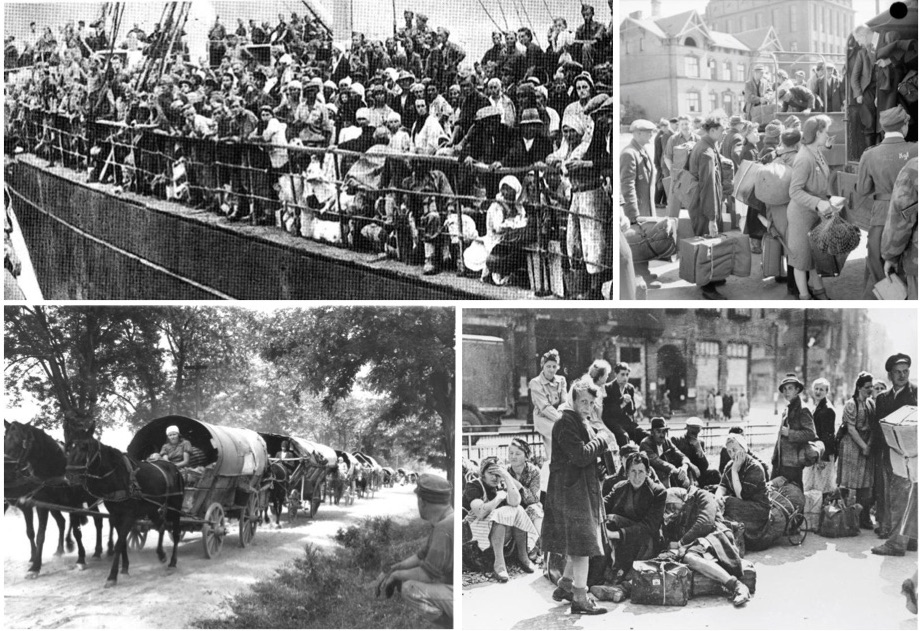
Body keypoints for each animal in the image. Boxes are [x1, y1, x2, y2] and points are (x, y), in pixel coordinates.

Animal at [4, 422, 109, 580]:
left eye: (20, 441)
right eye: (5, 438)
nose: (5, 469)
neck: (56, 470)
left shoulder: (73, 503)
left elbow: (77, 532)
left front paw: (81, 559)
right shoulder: (42, 505)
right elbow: (39, 535)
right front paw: (35, 567)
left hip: (91, 498)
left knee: (99, 521)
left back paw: (98, 550)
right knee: (63, 522)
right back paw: (62, 549)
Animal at [65, 436, 185, 584]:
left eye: (83, 449)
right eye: (69, 450)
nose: (69, 477)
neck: (117, 477)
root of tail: (174, 468)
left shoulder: (129, 516)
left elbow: (119, 543)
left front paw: (112, 576)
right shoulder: (116, 516)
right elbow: (121, 543)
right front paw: (125, 568)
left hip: (175, 509)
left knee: (176, 533)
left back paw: (173, 562)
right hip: (152, 509)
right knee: (161, 526)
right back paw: (161, 553)